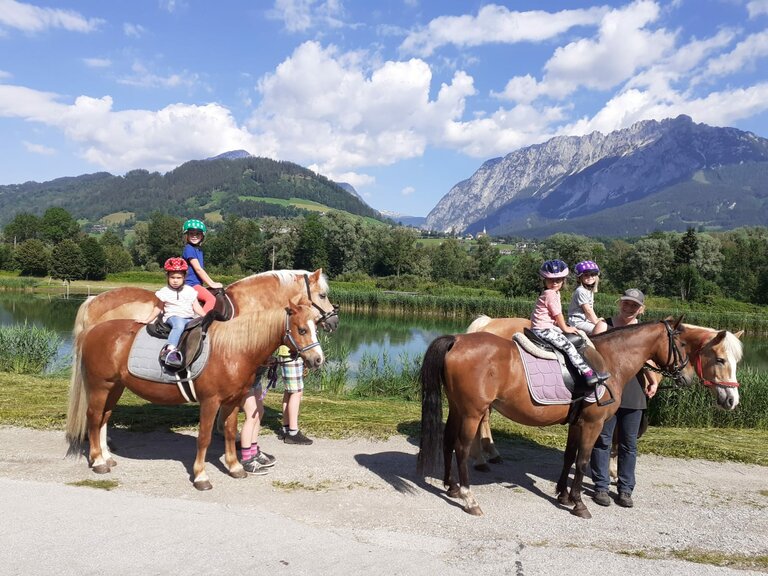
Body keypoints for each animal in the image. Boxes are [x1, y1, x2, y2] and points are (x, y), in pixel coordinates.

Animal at [67, 296, 328, 490]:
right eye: (302, 329)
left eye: (315, 327)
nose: (318, 360)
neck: (234, 349)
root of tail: (92, 331)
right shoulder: (210, 402)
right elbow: (204, 438)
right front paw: (201, 476)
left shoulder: (232, 401)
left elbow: (230, 432)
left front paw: (235, 467)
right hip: (100, 386)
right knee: (93, 418)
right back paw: (98, 461)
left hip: (115, 387)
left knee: (104, 418)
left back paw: (106, 456)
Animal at [420, 318, 744, 520]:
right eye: (719, 359)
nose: (687, 377)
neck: (610, 359)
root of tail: (457, 340)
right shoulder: (593, 424)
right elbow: (585, 460)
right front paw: (578, 503)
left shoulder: (577, 423)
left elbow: (569, 456)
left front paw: (563, 495)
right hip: (473, 412)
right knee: (461, 447)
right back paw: (469, 497)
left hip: (459, 408)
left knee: (447, 442)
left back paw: (450, 486)